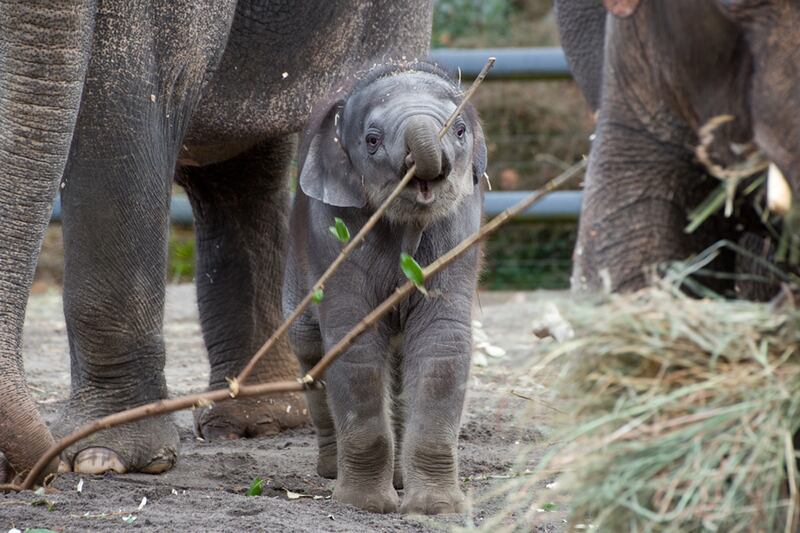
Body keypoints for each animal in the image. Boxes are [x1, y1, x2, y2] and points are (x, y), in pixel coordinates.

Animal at [286, 63, 488, 516]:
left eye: (461, 130)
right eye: (372, 140)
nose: (423, 163)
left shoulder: (459, 232)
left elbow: (442, 343)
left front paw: (436, 509)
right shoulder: (334, 230)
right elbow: (354, 346)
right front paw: (365, 506)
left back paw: (397, 480)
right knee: (308, 346)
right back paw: (332, 471)